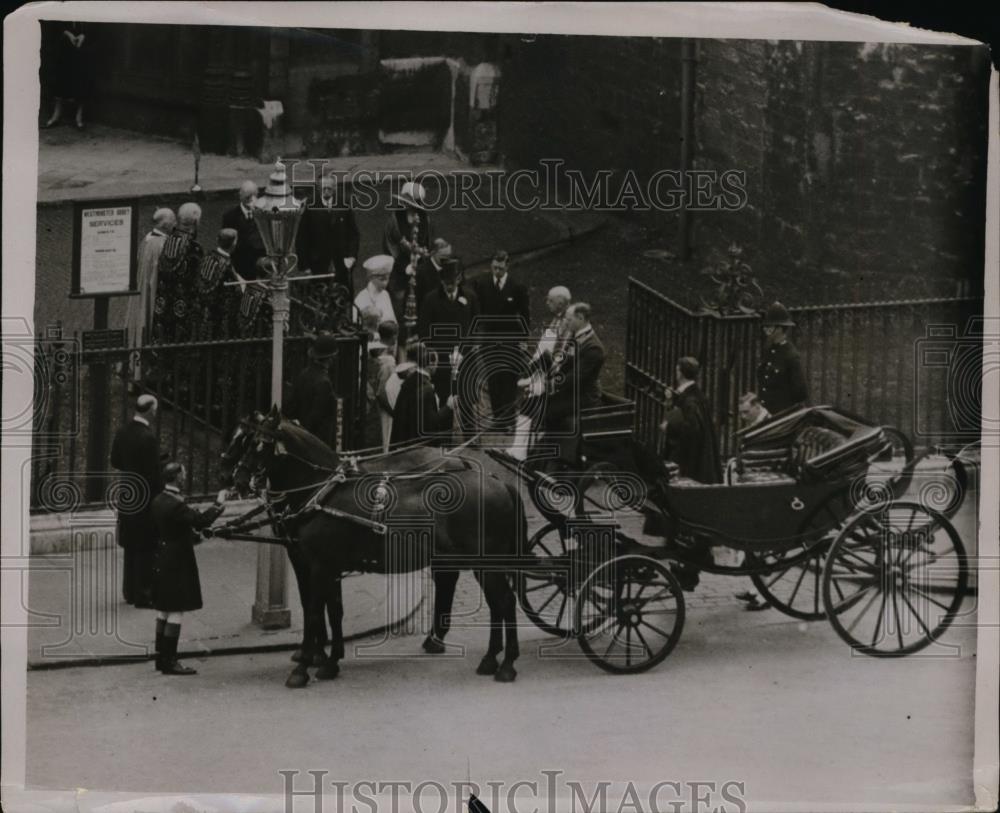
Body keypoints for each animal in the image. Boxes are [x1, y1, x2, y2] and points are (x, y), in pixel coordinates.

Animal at [223, 406, 528, 684]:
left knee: (503, 601)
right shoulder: (319, 564)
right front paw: (329, 661)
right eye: (244, 440)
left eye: (260, 444)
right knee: (491, 600)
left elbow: (313, 611)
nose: (235, 479)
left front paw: (304, 665)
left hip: (484, 562)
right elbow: (333, 610)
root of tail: (497, 482)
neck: (322, 493)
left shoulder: (318, 565)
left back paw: (505, 663)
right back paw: (486, 657)